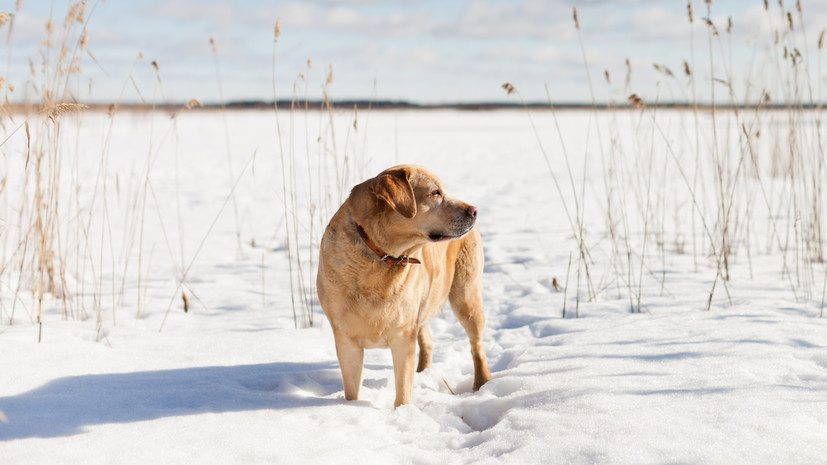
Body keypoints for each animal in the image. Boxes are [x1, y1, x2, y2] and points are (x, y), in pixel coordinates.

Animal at [316, 165, 492, 404]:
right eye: (435, 192)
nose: (474, 210)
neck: (382, 257)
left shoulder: (402, 336)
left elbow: (403, 389)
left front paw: (403, 410)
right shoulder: (346, 340)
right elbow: (352, 391)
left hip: (465, 295)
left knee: (477, 346)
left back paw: (482, 383)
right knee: (428, 339)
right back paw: (424, 372)